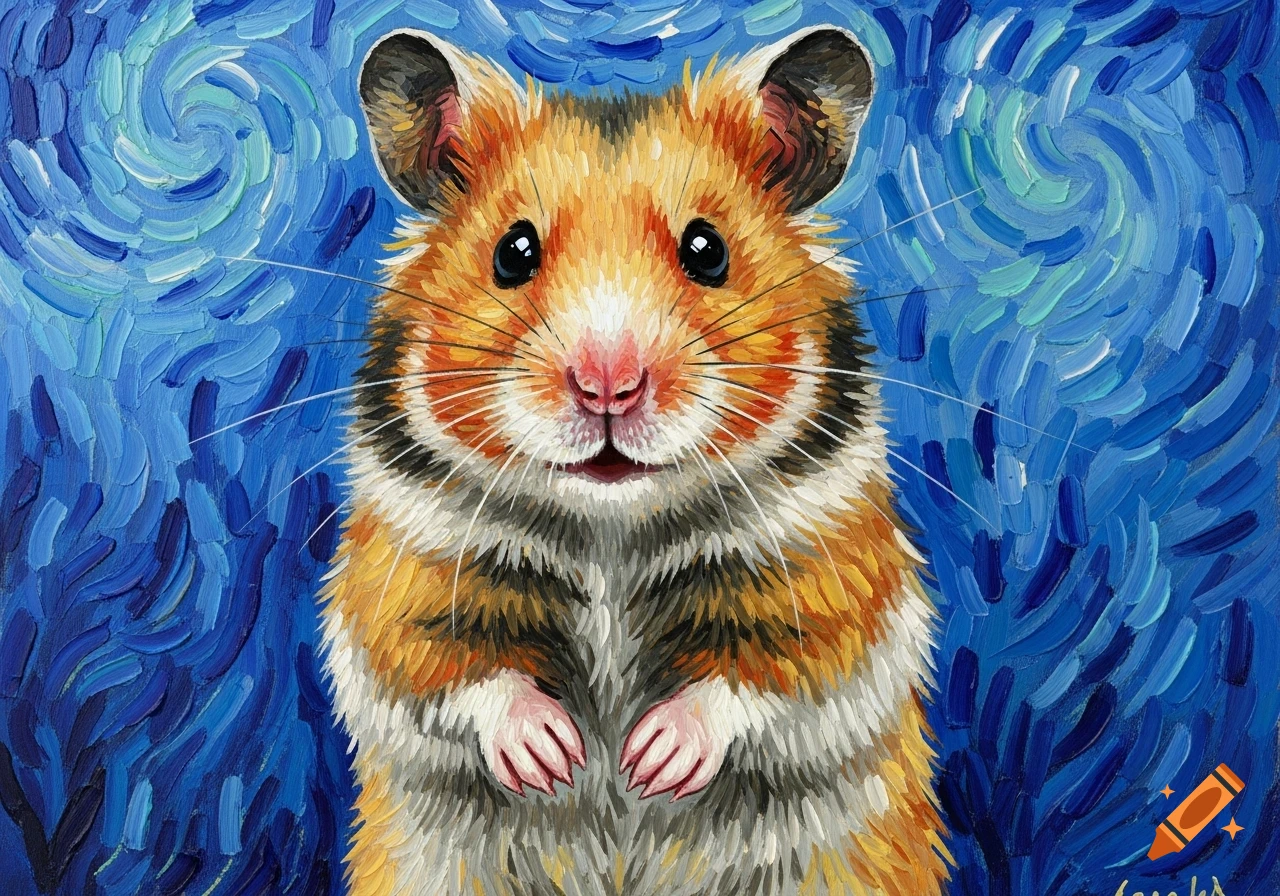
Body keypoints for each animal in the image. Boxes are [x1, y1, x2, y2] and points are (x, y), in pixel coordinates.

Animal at [319, 24, 949, 896]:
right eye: (514, 251)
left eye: (707, 249)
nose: (608, 386)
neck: (609, 528)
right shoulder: (403, 573)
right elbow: (447, 663)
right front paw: (553, 757)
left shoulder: (834, 573)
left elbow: (770, 669)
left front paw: (650, 763)